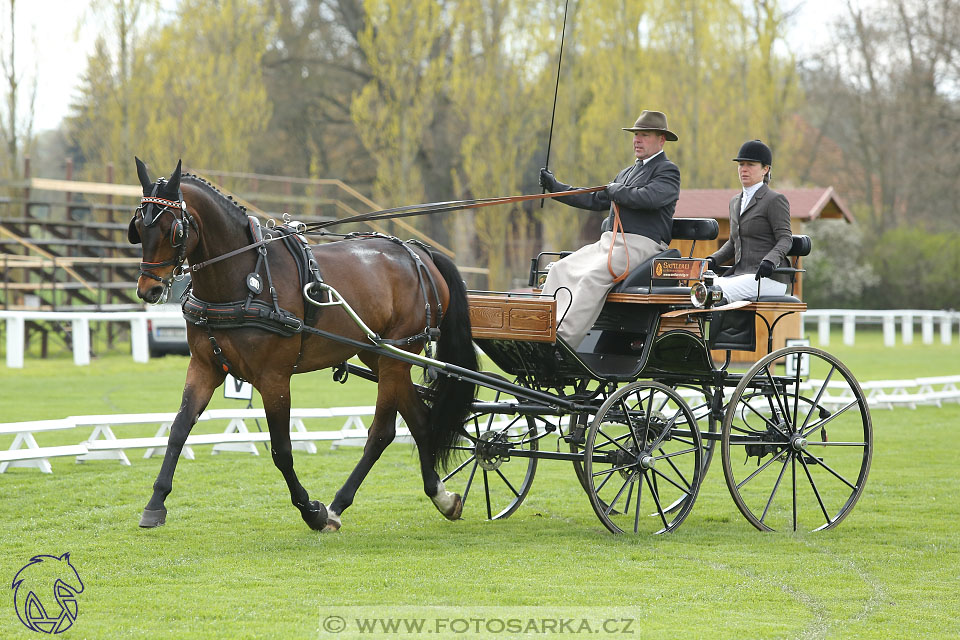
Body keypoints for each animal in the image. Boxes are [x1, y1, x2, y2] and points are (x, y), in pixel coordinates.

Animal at [125, 158, 478, 532]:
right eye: (138, 228)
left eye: (173, 230)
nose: (149, 290)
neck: (245, 277)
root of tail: (417, 251)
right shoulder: (205, 367)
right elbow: (178, 429)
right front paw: (155, 504)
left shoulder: (274, 379)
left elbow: (281, 450)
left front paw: (312, 511)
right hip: (381, 355)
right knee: (420, 419)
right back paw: (441, 497)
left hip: (398, 355)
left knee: (381, 432)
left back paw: (337, 506)